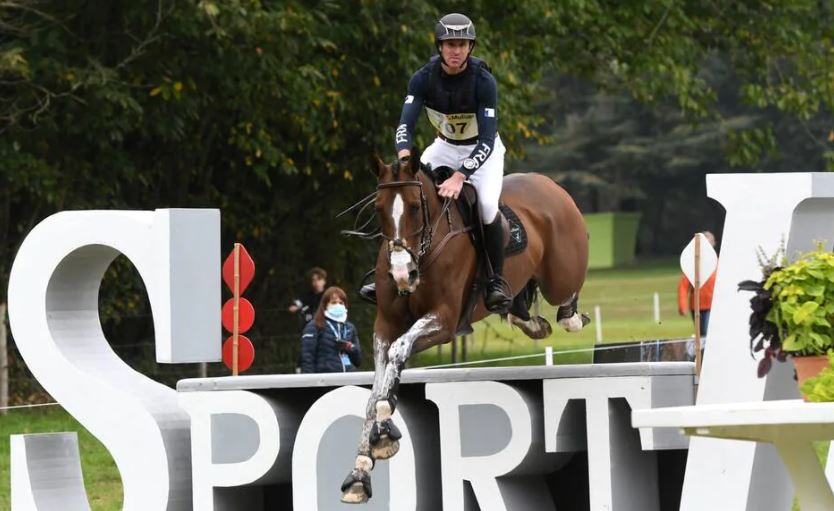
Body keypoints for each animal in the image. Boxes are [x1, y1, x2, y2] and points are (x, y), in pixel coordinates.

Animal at [336, 148, 584, 504]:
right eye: (378, 209)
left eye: (415, 207)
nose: (401, 274)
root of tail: (549, 184)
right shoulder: (385, 325)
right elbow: (375, 391)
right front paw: (360, 471)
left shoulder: (443, 321)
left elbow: (398, 354)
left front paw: (384, 430)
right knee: (523, 304)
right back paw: (527, 319)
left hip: (560, 276)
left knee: (566, 300)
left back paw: (567, 315)